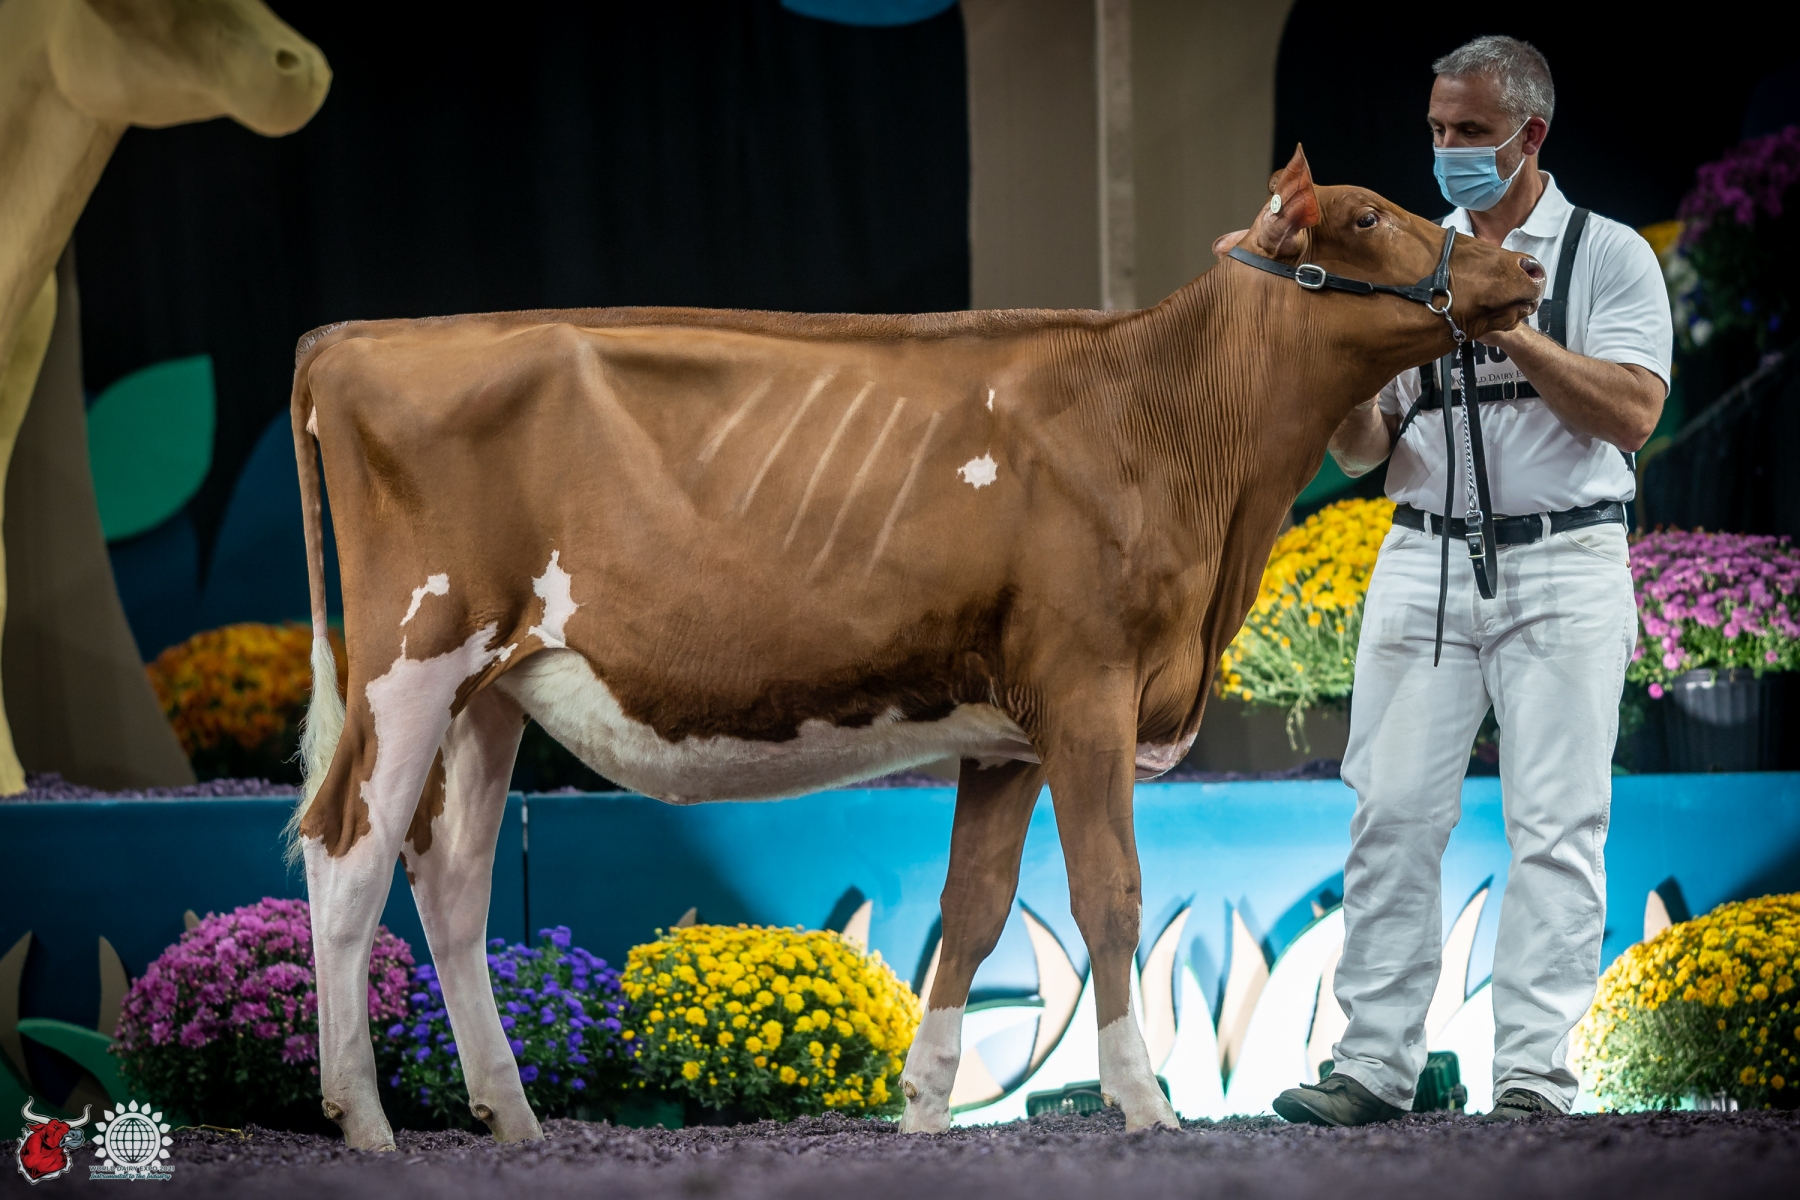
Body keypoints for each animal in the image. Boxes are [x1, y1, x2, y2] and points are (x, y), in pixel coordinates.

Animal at [287, 147, 1544, 1149]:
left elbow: (975, 908)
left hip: (494, 691)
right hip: (413, 657)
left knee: (452, 878)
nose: (1522, 271)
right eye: (1370, 215)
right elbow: (1110, 893)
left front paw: (928, 1105)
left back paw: (511, 1114)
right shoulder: (1089, 687)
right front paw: (1145, 1102)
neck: (1162, 428)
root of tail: (353, 336)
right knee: (347, 853)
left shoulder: (1010, 732)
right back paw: (364, 1117)